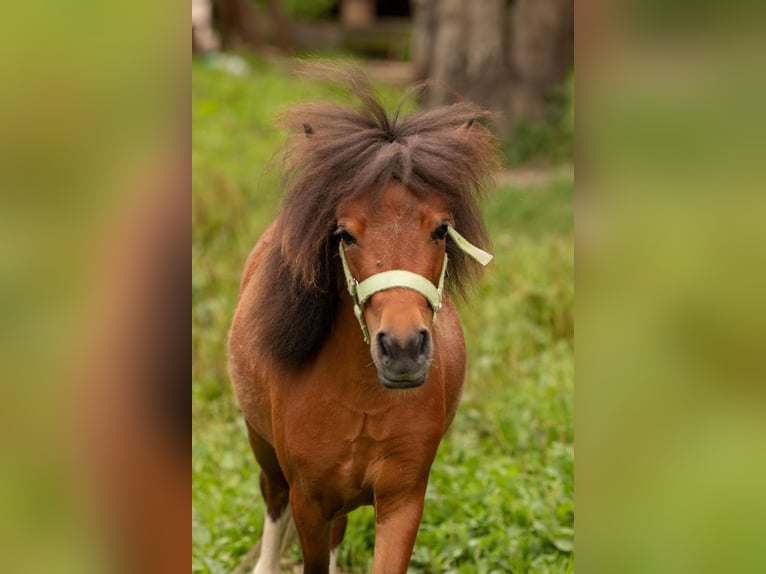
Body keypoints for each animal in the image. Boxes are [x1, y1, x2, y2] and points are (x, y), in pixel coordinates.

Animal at [231, 73, 500, 574]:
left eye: (441, 229)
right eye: (345, 234)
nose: (402, 349)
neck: (362, 399)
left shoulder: (402, 498)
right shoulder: (308, 502)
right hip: (264, 450)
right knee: (272, 504)